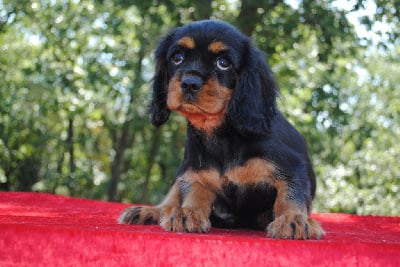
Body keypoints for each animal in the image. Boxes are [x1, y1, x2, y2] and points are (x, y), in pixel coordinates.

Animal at [119, 19, 324, 240]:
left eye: (223, 63)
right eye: (177, 58)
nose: (189, 83)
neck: (221, 133)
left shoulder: (292, 167)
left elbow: (290, 195)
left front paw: (293, 220)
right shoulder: (194, 171)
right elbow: (194, 192)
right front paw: (188, 212)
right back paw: (153, 211)